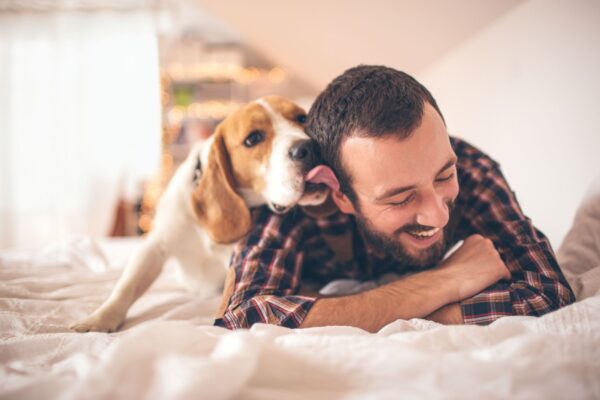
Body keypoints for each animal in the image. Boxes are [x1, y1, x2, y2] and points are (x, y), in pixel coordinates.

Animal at [71, 96, 332, 332]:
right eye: (253, 138)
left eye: (302, 118)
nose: (309, 147)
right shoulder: (155, 246)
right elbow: (126, 286)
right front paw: (99, 319)